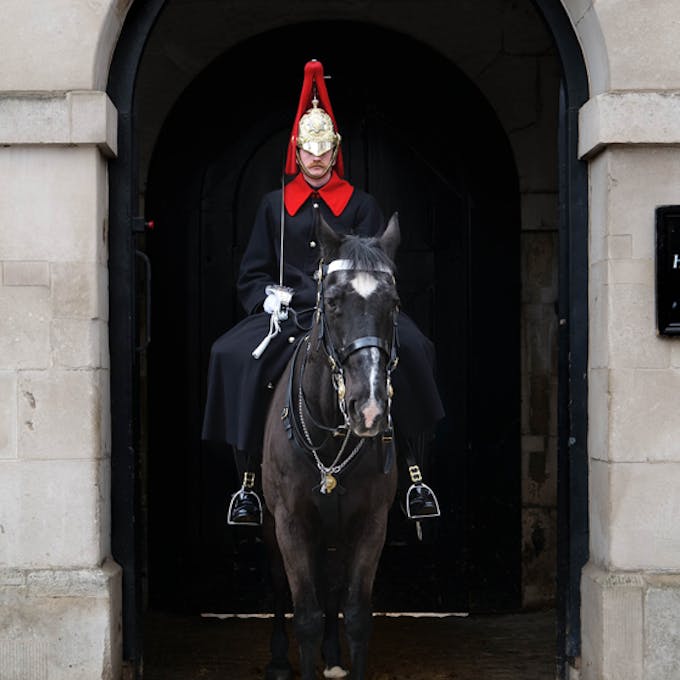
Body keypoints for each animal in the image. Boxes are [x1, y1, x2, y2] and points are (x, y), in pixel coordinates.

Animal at [258, 212, 398, 680]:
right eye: (334, 302)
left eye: (393, 304)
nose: (369, 408)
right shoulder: (289, 521)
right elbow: (306, 614)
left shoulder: (371, 521)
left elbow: (355, 612)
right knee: (280, 585)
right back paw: (278, 659)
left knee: (334, 585)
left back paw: (333, 656)